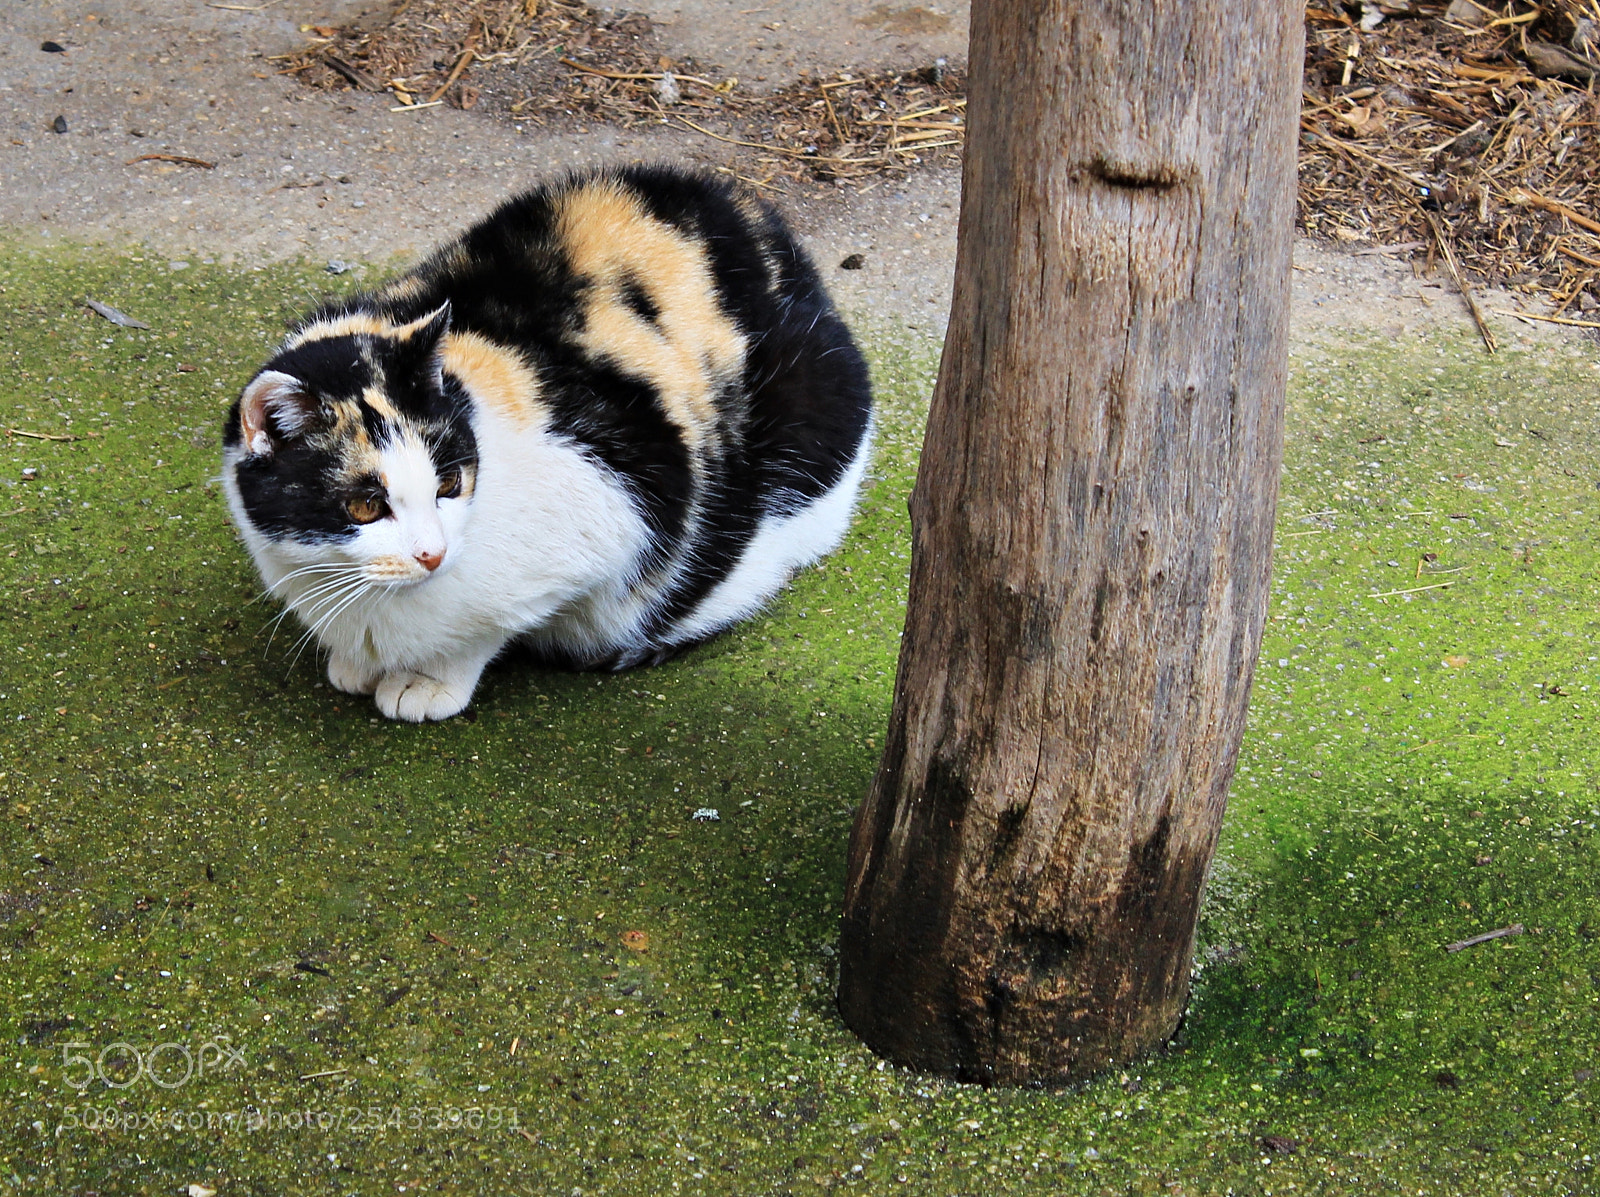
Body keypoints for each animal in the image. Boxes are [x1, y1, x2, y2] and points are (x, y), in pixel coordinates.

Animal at [222, 161, 876, 720]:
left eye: (450, 483)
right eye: (364, 506)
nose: (432, 553)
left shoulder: (613, 506)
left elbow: (487, 628)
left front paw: (427, 681)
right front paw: (355, 665)